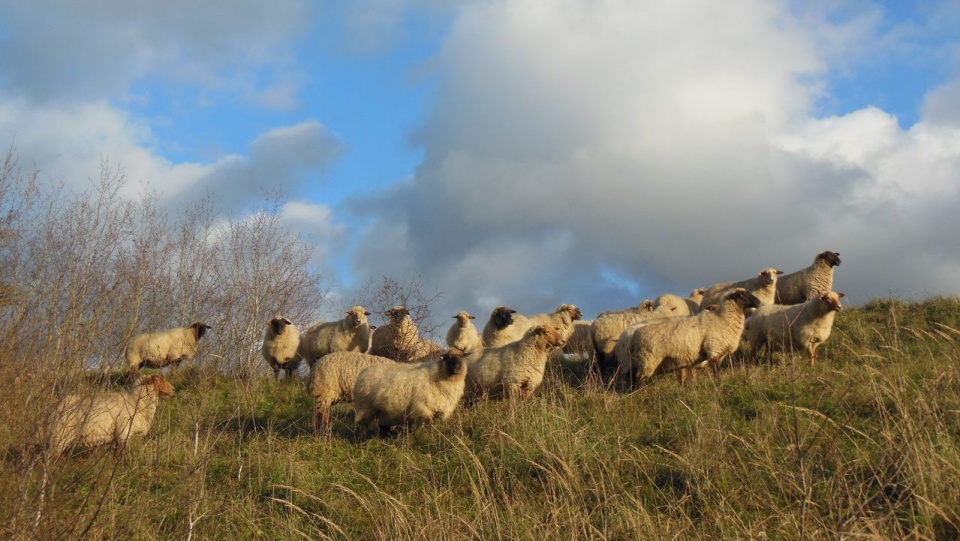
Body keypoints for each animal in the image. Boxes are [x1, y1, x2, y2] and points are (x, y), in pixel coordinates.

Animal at [620, 288, 760, 386]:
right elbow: (716, 372)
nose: (759, 302)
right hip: (648, 359)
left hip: (640, 361)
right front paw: (718, 386)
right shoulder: (713, 350)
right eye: (741, 295)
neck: (723, 319)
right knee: (640, 380)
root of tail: (634, 336)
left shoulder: (720, 354)